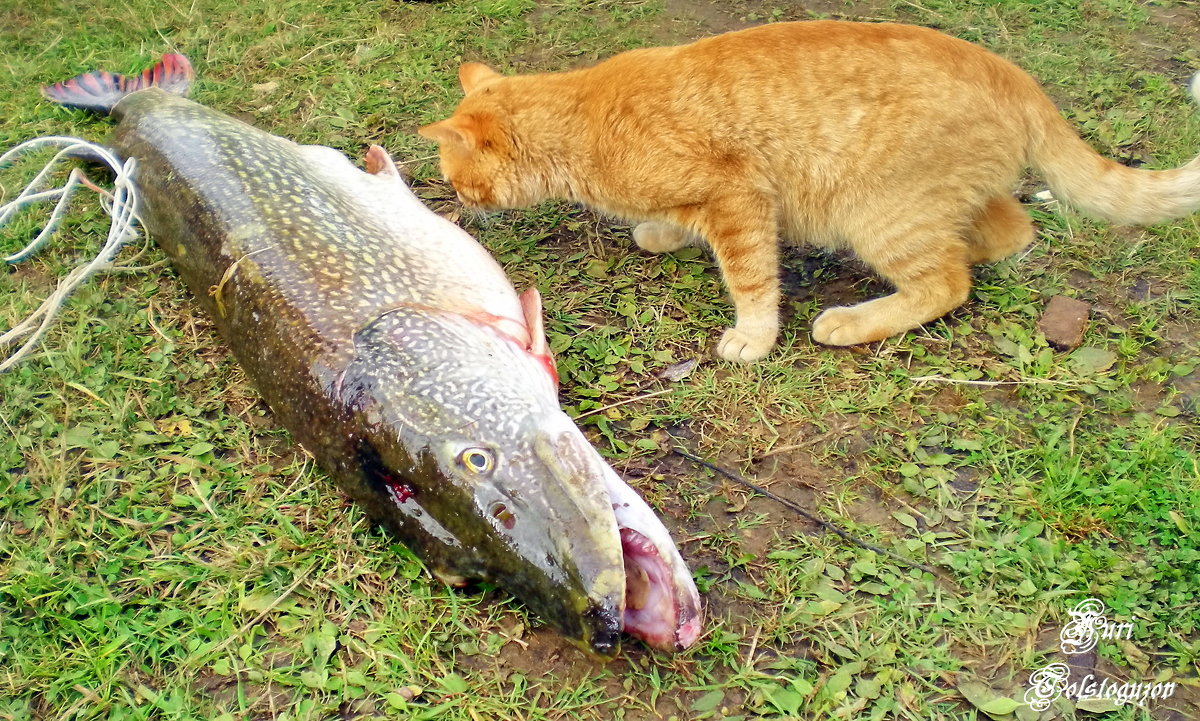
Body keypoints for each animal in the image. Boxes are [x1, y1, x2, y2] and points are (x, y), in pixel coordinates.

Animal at [420, 21, 1200, 359]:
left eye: (457, 178)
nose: (458, 202)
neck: (583, 118)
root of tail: (1013, 73)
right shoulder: (718, 203)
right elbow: (675, 225)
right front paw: (661, 232)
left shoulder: (740, 200)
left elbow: (752, 281)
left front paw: (753, 337)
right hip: (945, 202)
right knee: (1007, 232)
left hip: (879, 215)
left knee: (947, 281)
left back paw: (856, 320)